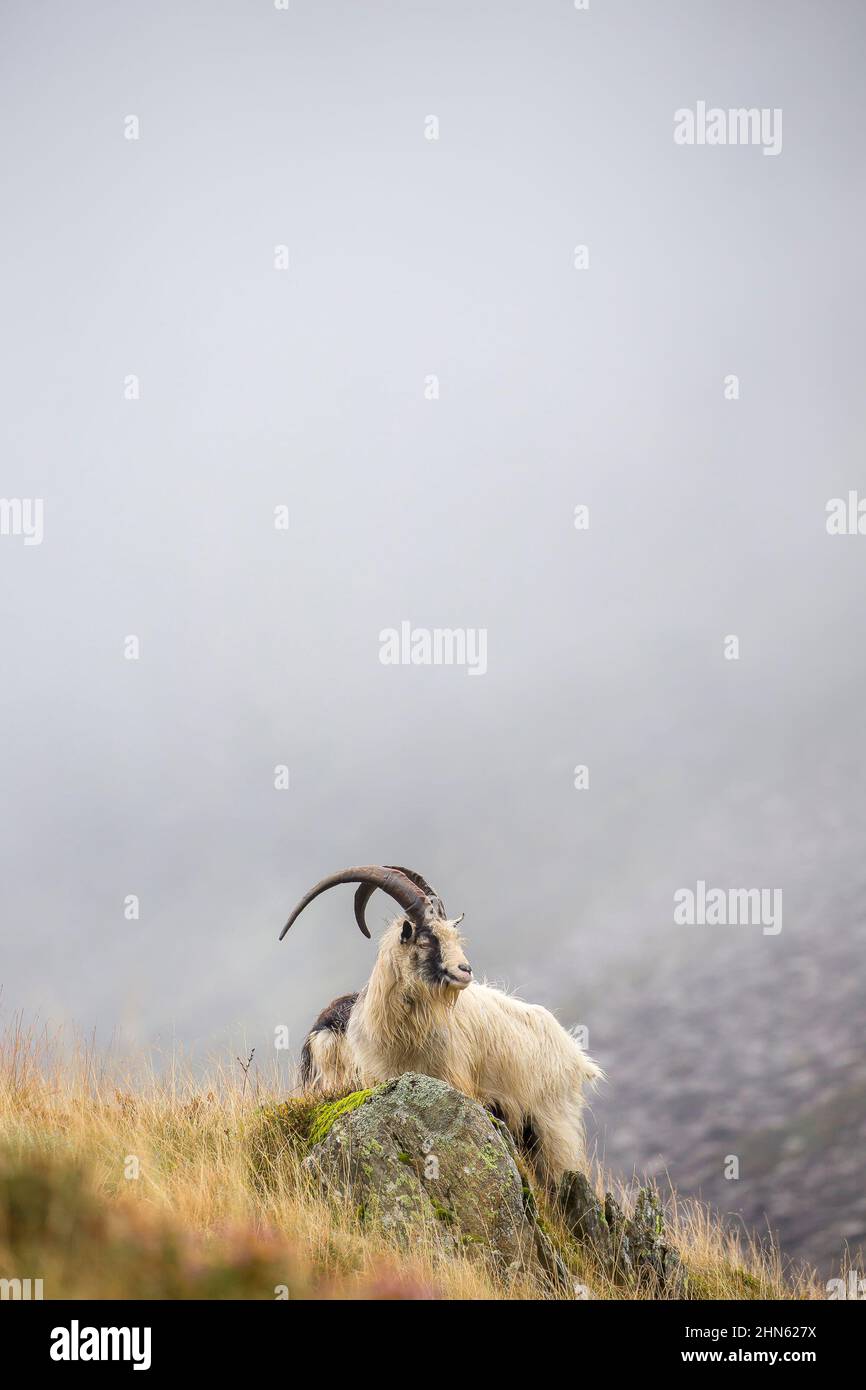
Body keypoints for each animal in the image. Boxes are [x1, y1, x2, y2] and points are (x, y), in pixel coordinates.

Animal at [279, 861, 603, 1178]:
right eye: (424, 941)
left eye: (454, 937)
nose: (465, 970)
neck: (403, 1033)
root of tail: (576, 1056)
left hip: (554, 1124)